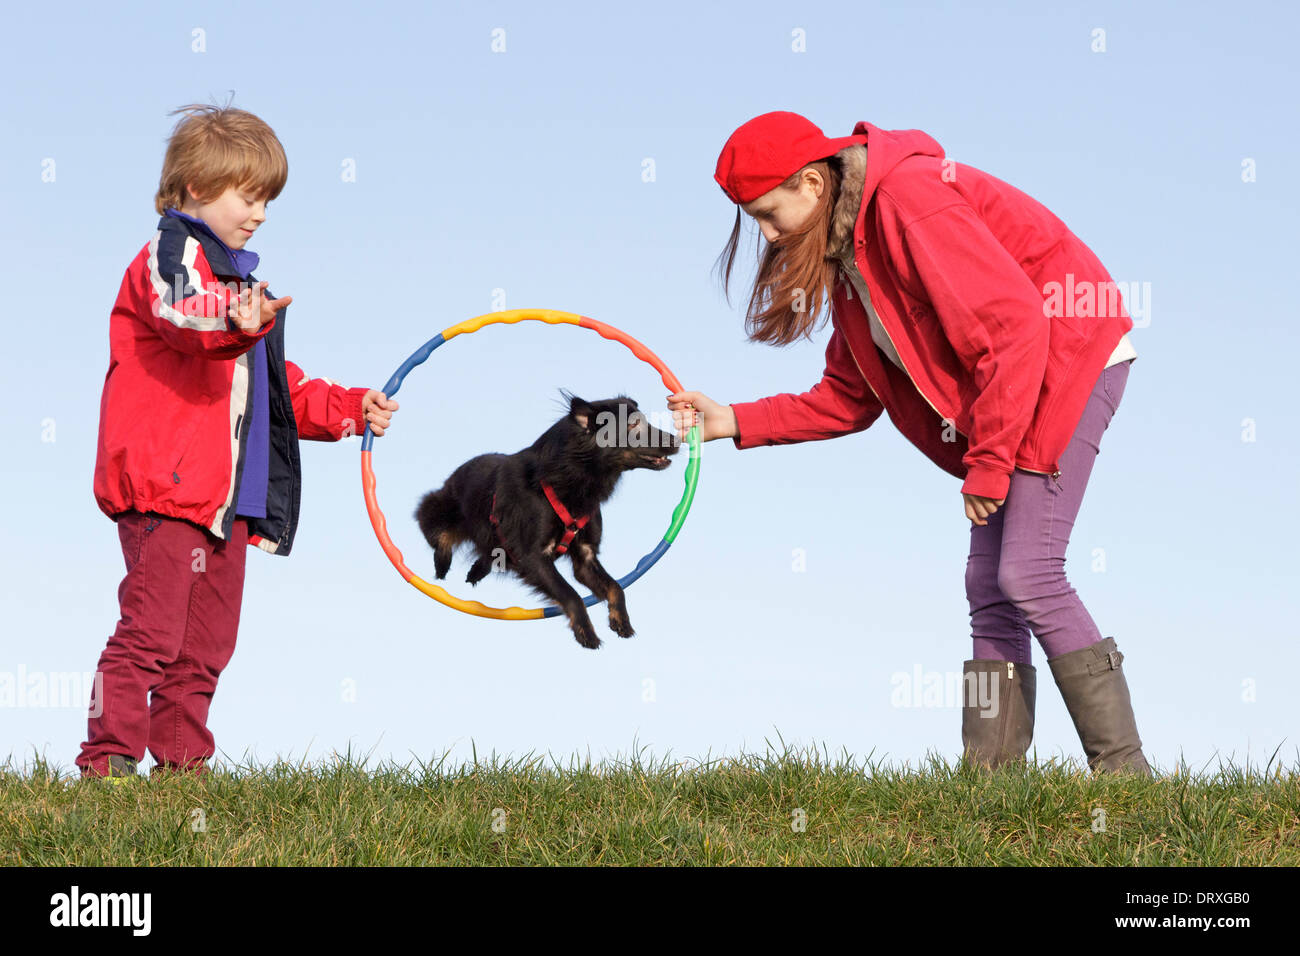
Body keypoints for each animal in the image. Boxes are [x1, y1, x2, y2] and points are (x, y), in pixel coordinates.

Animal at [416, 390, 681, 650]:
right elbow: (571, 594)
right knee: (437, 533)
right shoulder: (534, 557)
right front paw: (586, 632)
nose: (678, 441)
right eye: (633, 425)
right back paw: (442, 563)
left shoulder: (585, 557)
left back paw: (476, 570)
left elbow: (615, 587)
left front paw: (620, 620)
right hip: (438, 509)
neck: (568, 478)